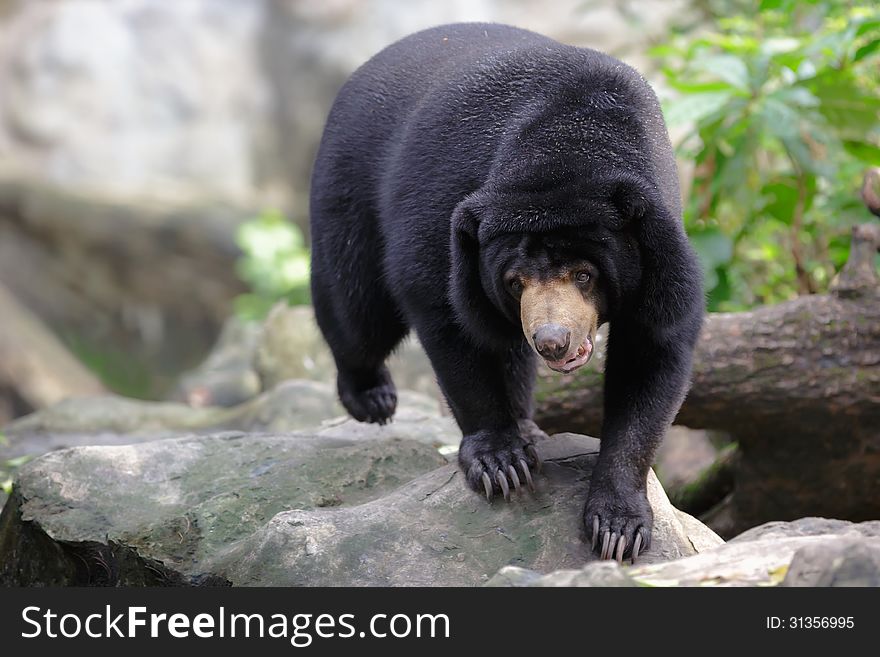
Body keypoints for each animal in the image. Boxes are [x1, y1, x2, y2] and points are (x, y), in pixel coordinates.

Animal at [310, 23, 700, 560]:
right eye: (516, 281)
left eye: (585, 274)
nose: (552, 340)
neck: (570, 143)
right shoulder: (448, 209)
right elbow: (448, 316)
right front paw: (501, 463)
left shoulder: (659, 248)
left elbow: (652, 351)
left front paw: (618, 528)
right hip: (349, 187)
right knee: (357, 310)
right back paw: (371, 398)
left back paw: (528, 423)